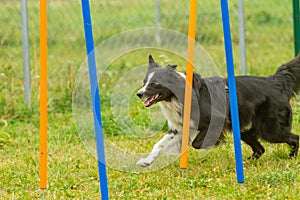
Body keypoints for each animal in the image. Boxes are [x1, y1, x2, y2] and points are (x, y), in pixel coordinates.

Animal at [137, 54, 300, 167]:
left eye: (155, 83)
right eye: (144, 82)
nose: (139, 94)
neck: (178, 95)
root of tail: (275, 82)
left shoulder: (215, 121)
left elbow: (196, 143)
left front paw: (211, 143)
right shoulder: (179, 127)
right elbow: (159, 145)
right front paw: (146, 161)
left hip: (271, 130)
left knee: (295, 138)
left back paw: (291, 158)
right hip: (244, 130)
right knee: (260, 149)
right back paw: (247, 162)